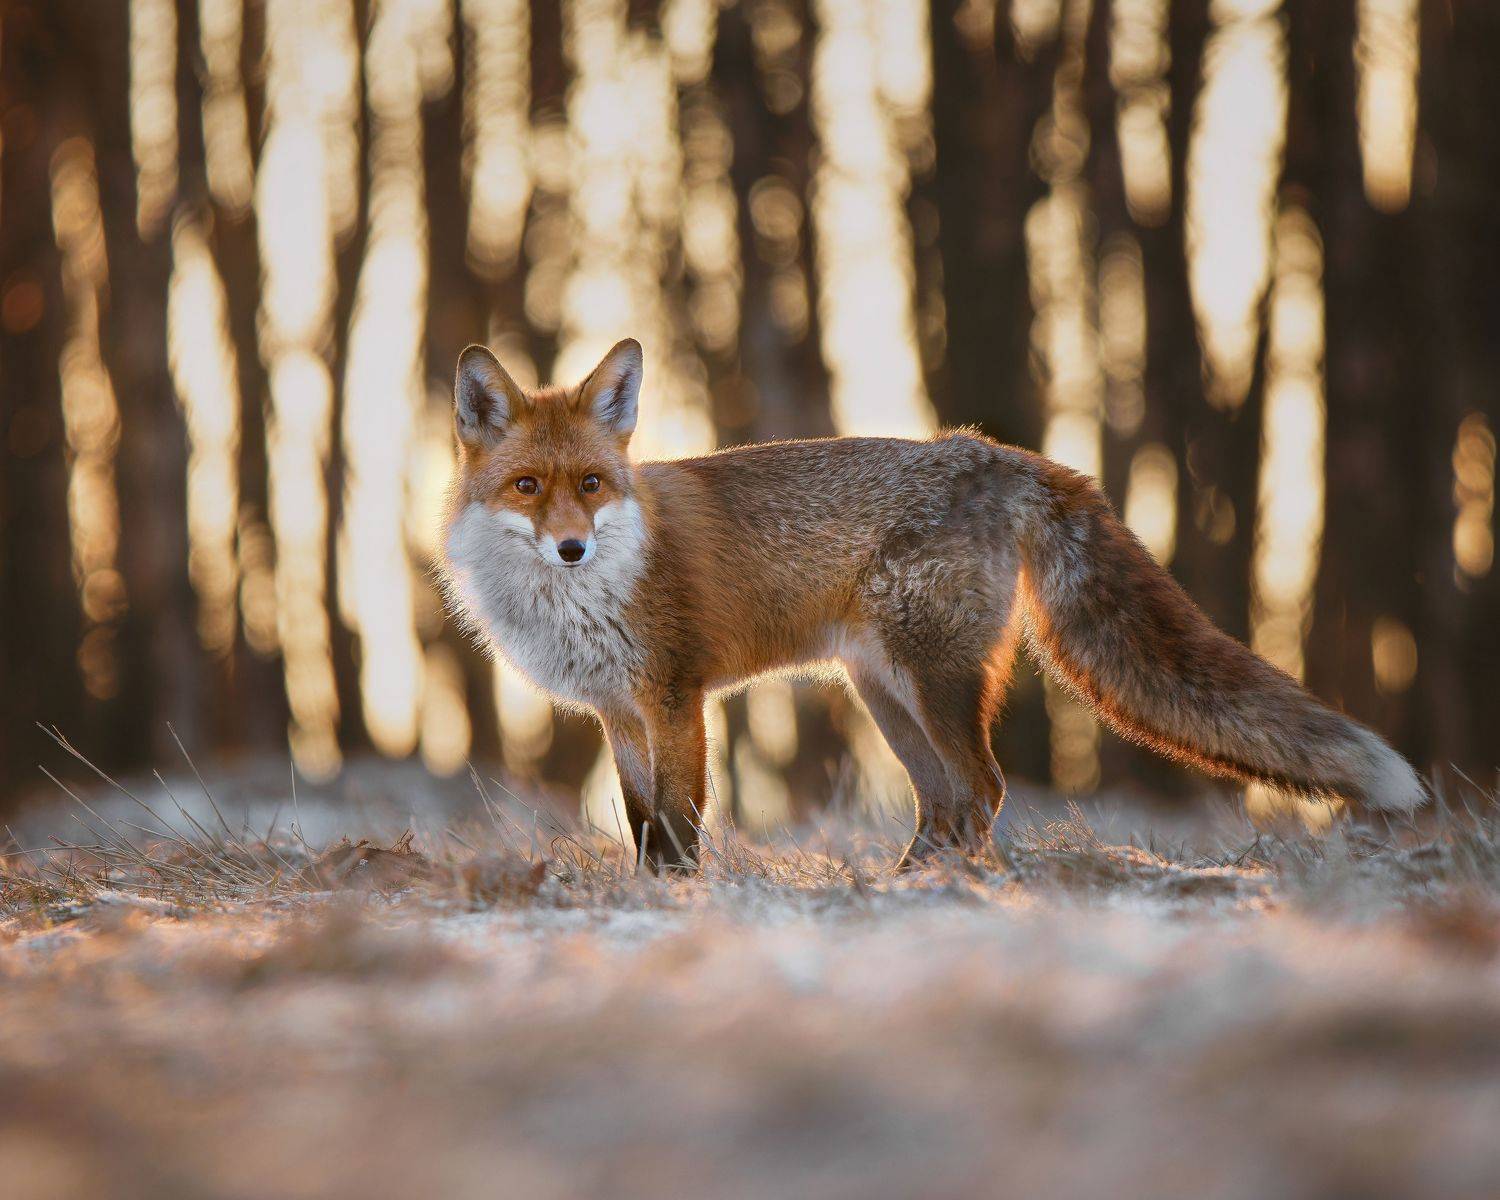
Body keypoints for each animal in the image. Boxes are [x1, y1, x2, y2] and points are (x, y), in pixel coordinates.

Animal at [439, 337, 1427, 871]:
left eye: (592, 485)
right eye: (527, 487)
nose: (572, 548)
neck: (579, 600)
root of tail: (1000, 452)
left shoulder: (675, 698)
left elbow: (681, 825)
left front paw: (680, 904)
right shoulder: (619, 713)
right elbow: (644, 824)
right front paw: (647, 897)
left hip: (933, 680)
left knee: (981, 791)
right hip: (886, 694)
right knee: (946, 804)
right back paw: (901, 887)